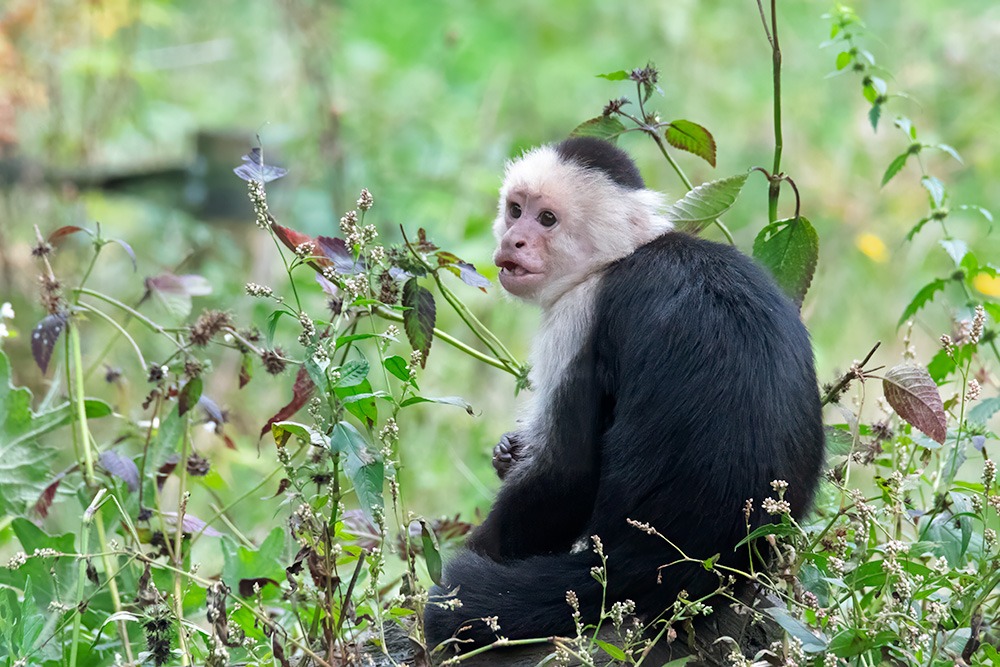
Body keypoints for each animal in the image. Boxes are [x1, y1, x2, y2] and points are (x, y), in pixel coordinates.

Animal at [422, 136, 820, 652]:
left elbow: (564, 472)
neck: (621, 255)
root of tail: (659, 563)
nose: (513, 241)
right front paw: (508, 451)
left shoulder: (578, 313)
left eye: (546, 219)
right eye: (514, 210)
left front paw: (474, 554)